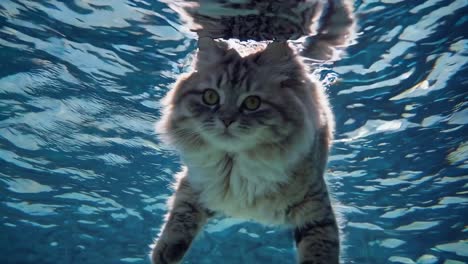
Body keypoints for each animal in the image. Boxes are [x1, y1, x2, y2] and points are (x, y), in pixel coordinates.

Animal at [152, 0, 356, 264]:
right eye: (210, 97)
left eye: (252, 103)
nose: (226, 120)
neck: (236, 167)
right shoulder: (194, 183)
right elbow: (180, 215)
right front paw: (165, 253)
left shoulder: (315, 206)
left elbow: (320, 250)